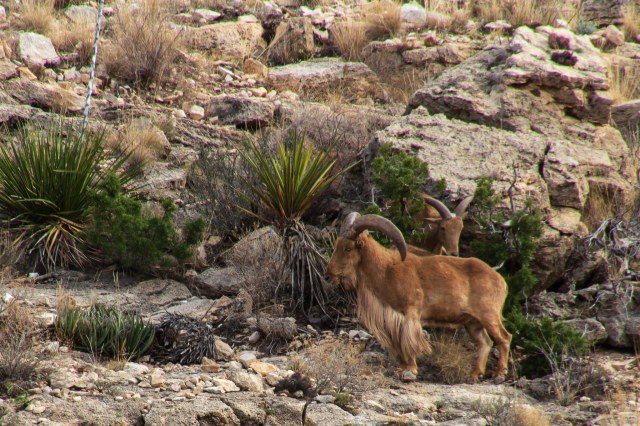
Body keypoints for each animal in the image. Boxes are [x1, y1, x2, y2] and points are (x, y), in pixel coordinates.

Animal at [326, 212, 511, 384]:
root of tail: (500, 280)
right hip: (472, 322)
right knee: (485, 342)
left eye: (348, 248)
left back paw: (499, 374)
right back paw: (474, 375)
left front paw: (409, 372)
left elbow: (407, 341)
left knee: (504, 338)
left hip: (489, 315)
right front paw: (402, 369)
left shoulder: (410, 313)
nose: (328, 275)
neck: (386, 270)